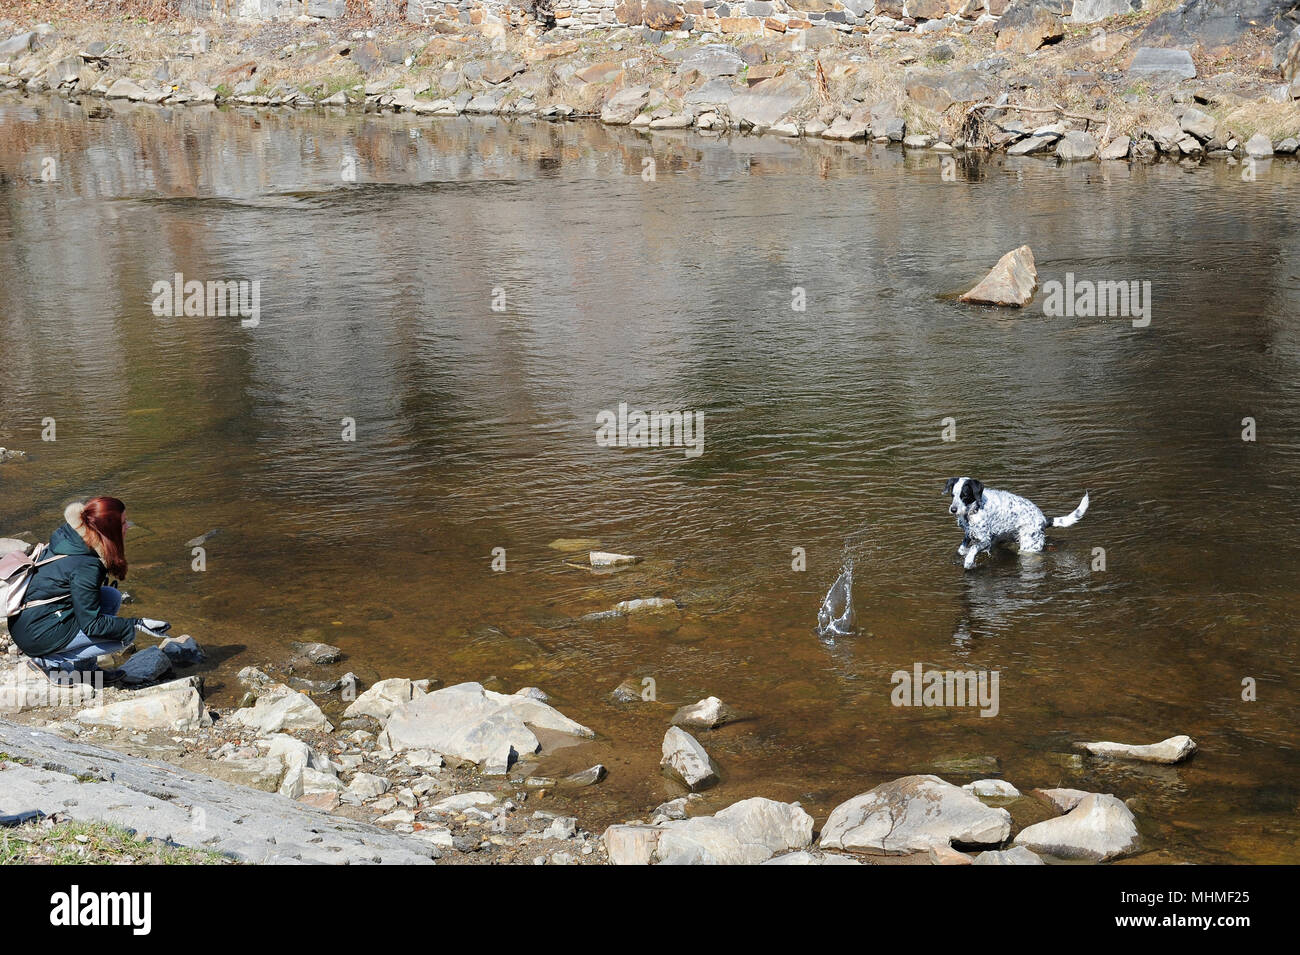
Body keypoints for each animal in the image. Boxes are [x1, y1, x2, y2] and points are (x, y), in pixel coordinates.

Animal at [946, 475, 1086, 566]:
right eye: (952, 495)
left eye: (964, 495)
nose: (953, 509)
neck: (975, 509)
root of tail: (1043, 519)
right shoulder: (969, 534)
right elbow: (962, 549)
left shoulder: (985, 540)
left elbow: (973, 549)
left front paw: (969, 561)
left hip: (1029, 547)